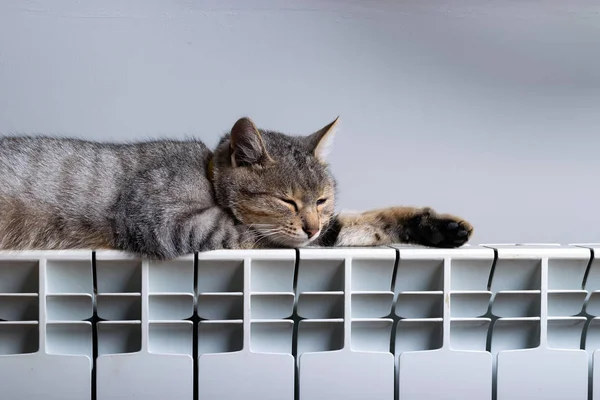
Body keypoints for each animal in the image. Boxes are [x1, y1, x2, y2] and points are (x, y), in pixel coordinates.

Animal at [0, 116, 474, 260]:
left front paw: (436, 226)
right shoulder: (171, 221)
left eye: (321, 199)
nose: (311, 225)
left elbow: (356, 225)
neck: (206, 174)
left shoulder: (323, 229)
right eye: (287, 201)